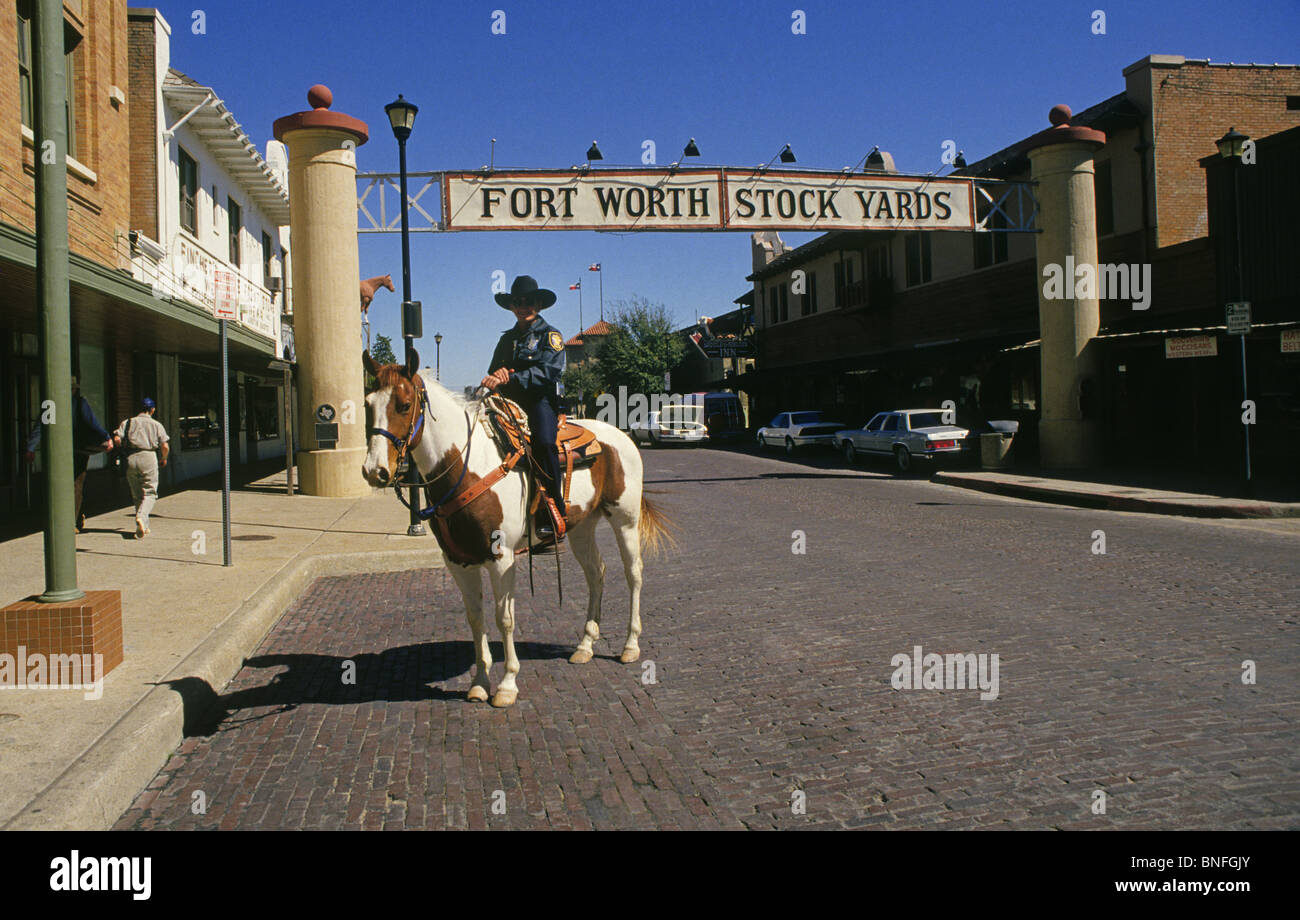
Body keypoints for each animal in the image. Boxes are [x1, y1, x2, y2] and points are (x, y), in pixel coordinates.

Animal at [361, 350, 676, 706]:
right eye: (368, 404)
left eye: (403, 405)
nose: (375, 471)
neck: (467, 467)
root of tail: (621, 435)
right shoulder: (458, 561)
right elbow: (476, 617)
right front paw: (480, 683)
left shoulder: (502, 558)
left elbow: (505, 618)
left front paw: (507, 684)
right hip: (582, 526)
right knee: (597, 573)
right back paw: (585, 645)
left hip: (625, 518)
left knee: (633, 572)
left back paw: (630, 645)